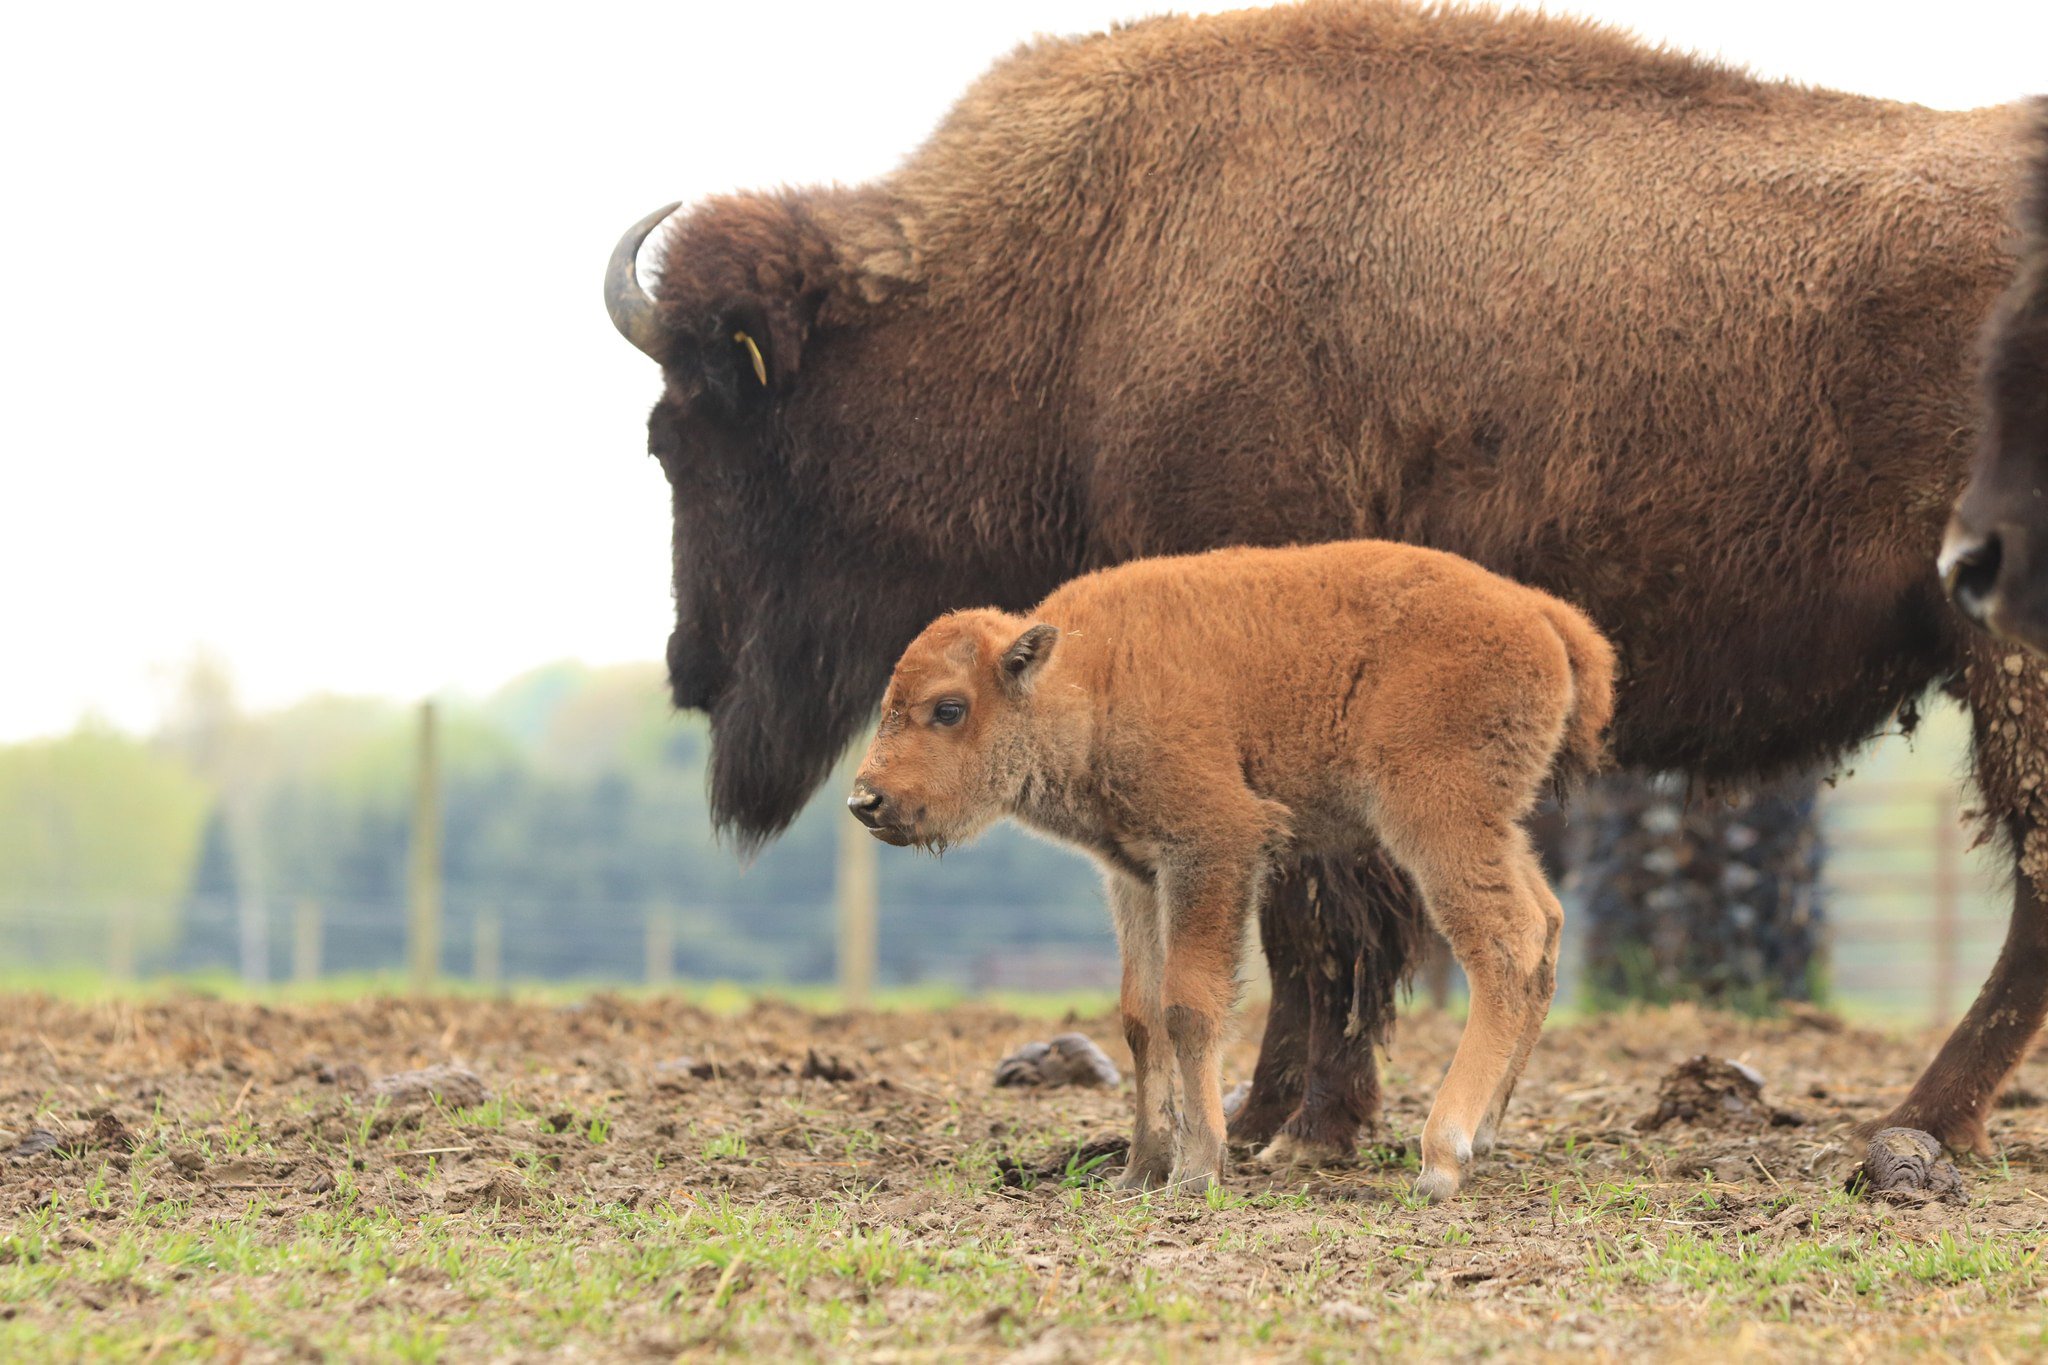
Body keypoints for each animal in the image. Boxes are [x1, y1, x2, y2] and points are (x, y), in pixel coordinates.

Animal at [849, 541, 1616, 1197]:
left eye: (949, 707)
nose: (865, 800)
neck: (1090, 674)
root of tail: (1540, 614)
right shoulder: (1136, 875)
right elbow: (1140, 1015)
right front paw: (1139, 1171)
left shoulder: (1211, 849)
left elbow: (1189, 1005)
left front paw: (1197, 1169)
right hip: (1496, 825)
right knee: (1547, 926)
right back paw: (1485, 1135)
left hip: (1438, 820)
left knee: (1503, 944)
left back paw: (1442, 1158)